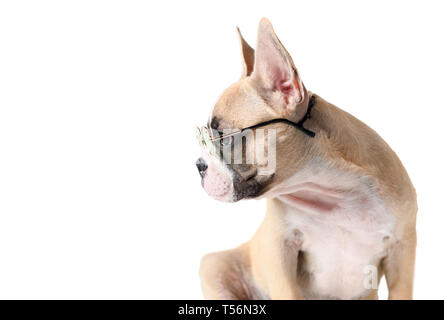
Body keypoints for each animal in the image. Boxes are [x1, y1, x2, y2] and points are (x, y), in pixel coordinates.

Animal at [194, 18, 416, 300]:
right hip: (214, 264)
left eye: (222, 137)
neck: (333, 191)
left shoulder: (403, 248)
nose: (199, 165)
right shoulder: (279, 246)